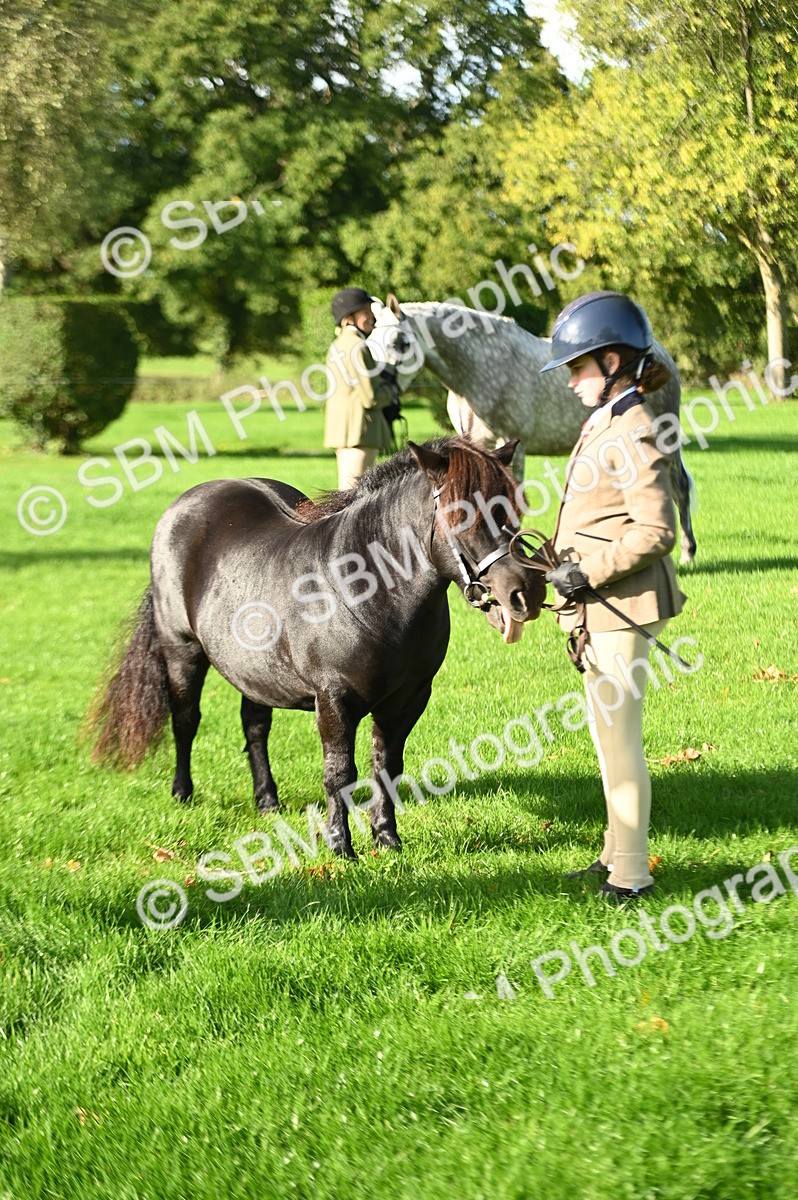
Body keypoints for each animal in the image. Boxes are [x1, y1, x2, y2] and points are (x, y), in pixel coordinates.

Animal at [89, 438, 546, 859]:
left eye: (512, 509)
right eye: (462, 514)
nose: (527, 590)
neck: (365, 589)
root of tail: (182, 506)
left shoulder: (409, 698)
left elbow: (387, 767)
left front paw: (387, 839)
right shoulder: (333, 699)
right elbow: (339, 773)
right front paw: (340, 845)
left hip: (254, 668)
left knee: (255, 725)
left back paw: (267, 801)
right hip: (181, 651)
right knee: (185, 720)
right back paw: (183, 793)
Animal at [370, 296, 697, 564]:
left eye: (400, 341)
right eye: (370, 342)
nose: (381, 391)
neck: (479, 369)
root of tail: (658, 355)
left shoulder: (513, 446)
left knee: (679, 488)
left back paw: (687, 554)